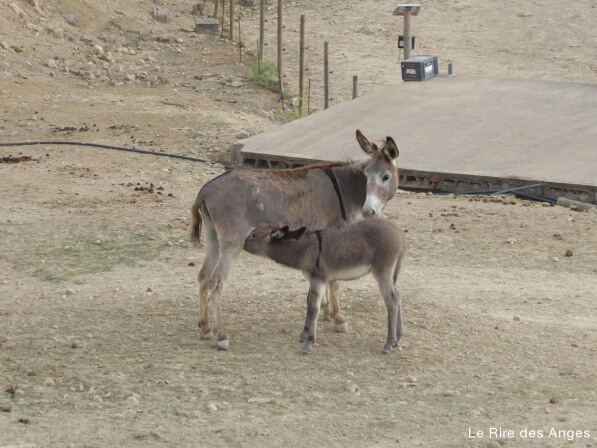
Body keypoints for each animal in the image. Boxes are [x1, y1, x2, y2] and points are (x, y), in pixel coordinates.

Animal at [242, 218, 406, 356]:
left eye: (254, 235)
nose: (242, 245)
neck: (305, 249)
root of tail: (399, 233)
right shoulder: (312, 281)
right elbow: (308, 303)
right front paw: (304, 334)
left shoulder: (318, 280)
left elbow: (313, 309)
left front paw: (309, 344)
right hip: (390, 274)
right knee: (397, 296)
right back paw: (398, 338)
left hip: (383, 271)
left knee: (391, 300)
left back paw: (388, 344)